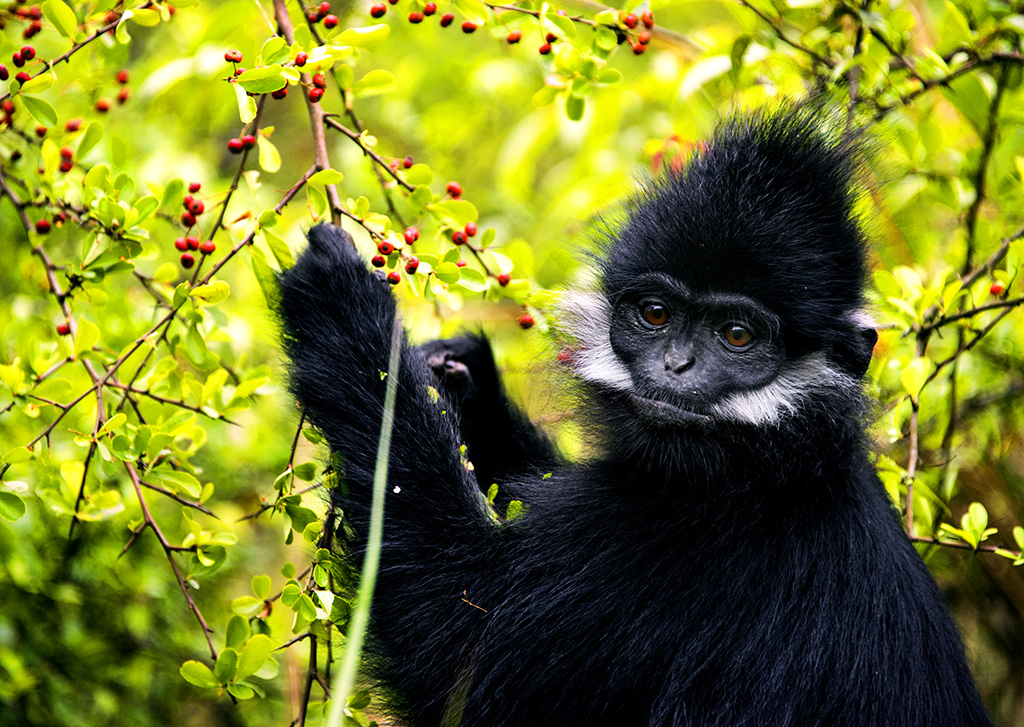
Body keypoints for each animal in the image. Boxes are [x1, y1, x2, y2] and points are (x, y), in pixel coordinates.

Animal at [276, 109, 987, 727]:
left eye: (736, 335)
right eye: (655, 314)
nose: (675, 366)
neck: (777, 466)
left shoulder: (669, 540)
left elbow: (456, 649)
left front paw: (346, 309)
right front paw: (457, 376)